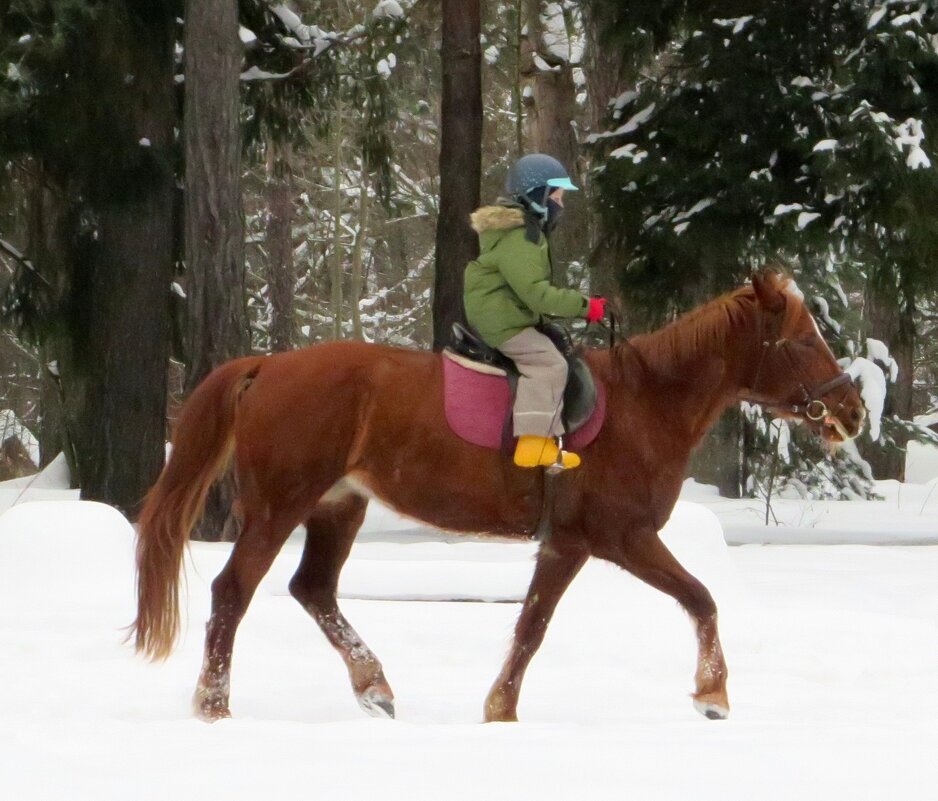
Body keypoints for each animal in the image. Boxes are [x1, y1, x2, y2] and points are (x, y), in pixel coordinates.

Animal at [132, 270, 864, 724]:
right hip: (279, 506)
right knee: (234, 591)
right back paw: (215, 704)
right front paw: (713, 694)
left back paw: (374, 686)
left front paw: (499, 709)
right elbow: (695, 599)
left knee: (313, 589)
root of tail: (268, 365)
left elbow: (532, 624)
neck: (646, 402)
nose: (852, 411)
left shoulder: (569, 545)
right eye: (803, 340)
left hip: (339, 506)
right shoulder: (615, 539)